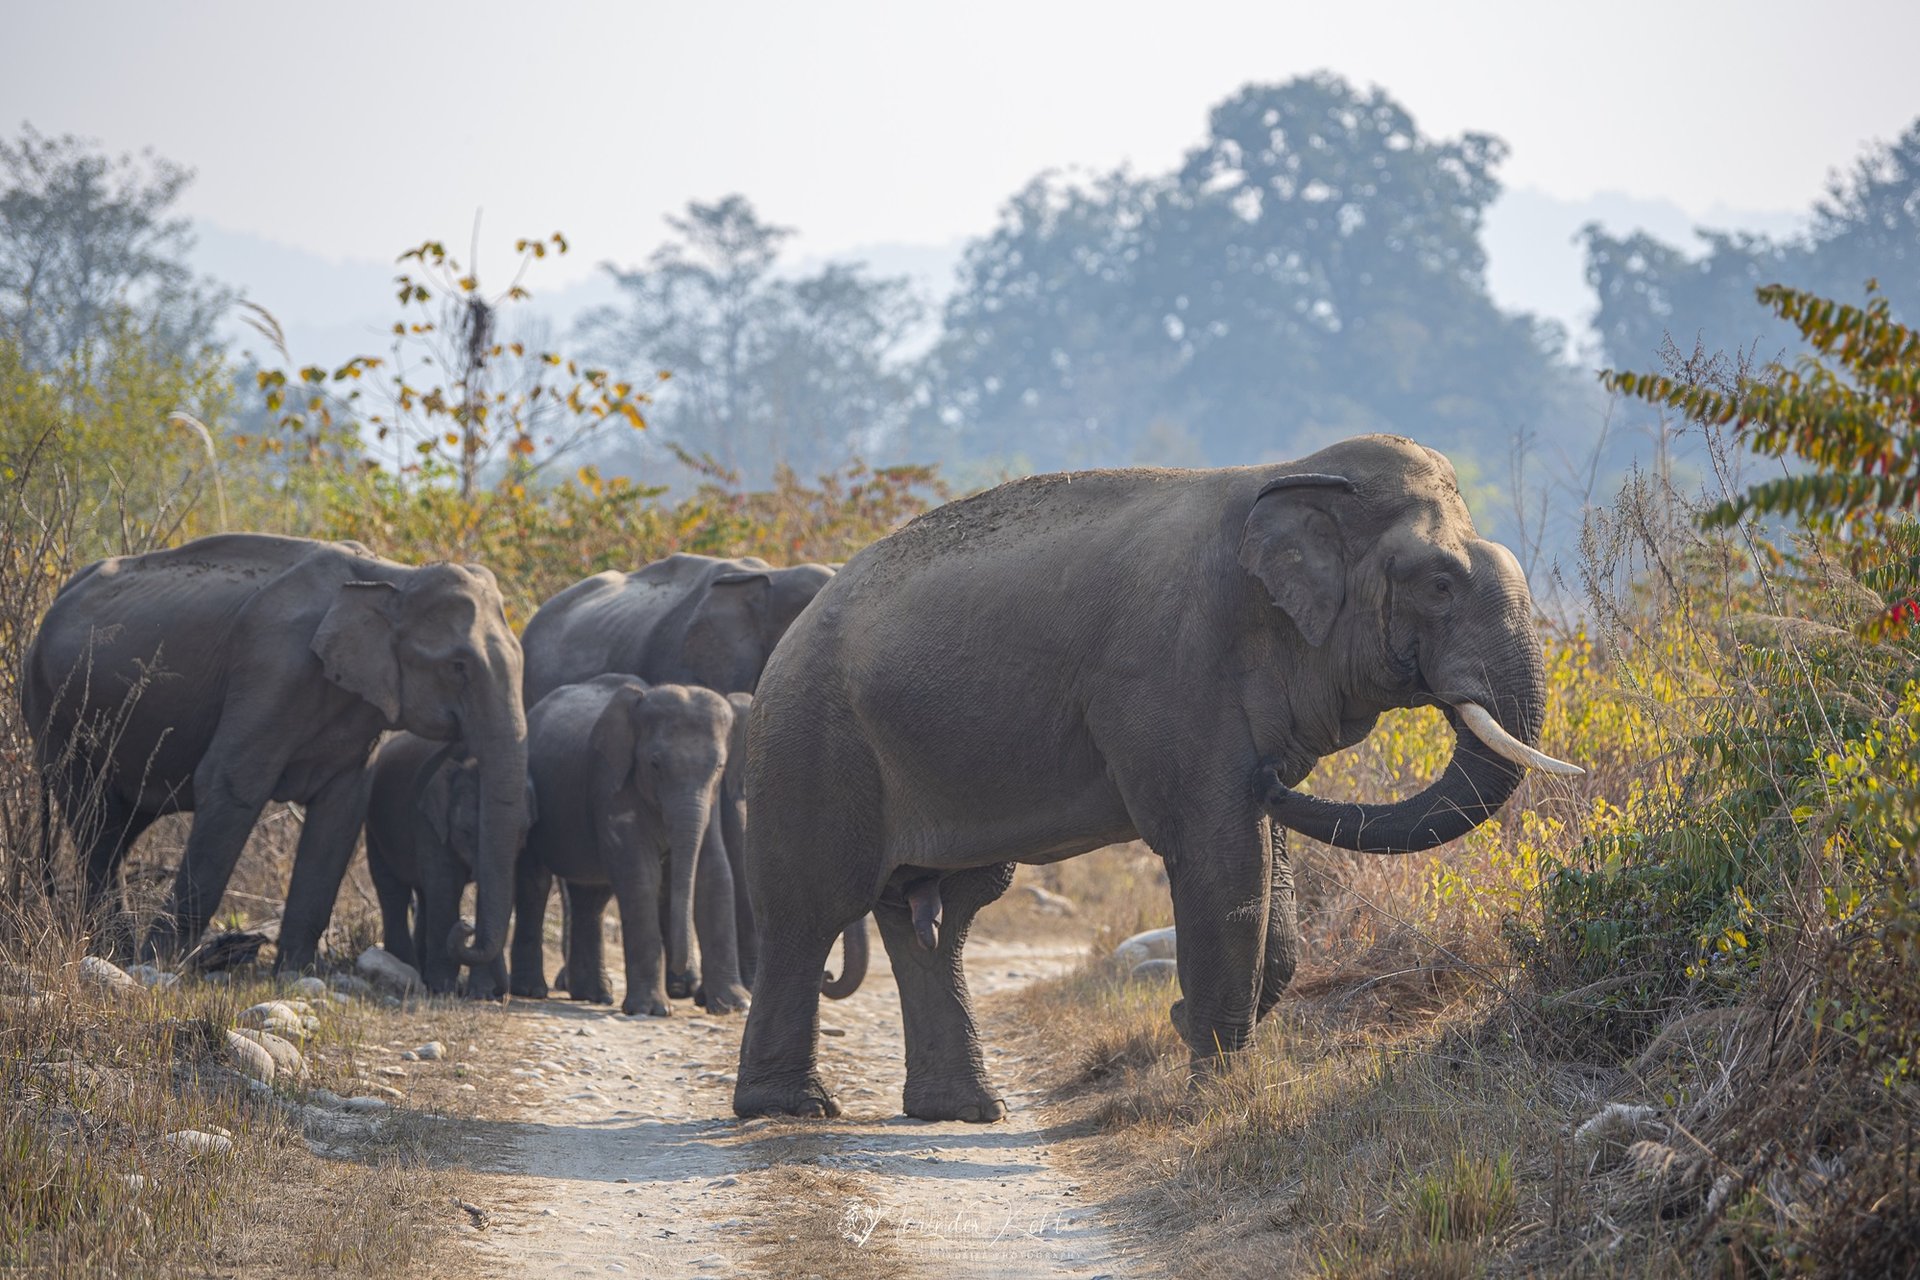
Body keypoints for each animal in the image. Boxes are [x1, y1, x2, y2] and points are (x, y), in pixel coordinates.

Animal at [24, 533, 533, 971]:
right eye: (458, 666)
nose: (465, 929)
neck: (393, 577)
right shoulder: (273, 668)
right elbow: (231, 784)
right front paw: (160, 964)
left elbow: (341, 811)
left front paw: (294, 972)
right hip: (51, 707)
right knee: (95, 819)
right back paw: (118, 953)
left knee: (117, 824)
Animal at [360, 729, 537, 997]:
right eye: (465, 831)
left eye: (523, 832)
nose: (467, 926)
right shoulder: (427, 823)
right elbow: (445, 888)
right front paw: (442, 988)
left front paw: (481, 993)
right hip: (375, 826)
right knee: (392, 890)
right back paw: (409, 969)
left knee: (423, 896)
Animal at [510, 675, 748, 1013]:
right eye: (655, 764)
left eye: (718, 767)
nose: (682, 982)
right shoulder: (611, 782)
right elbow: (640, 876)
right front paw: (651, 1010)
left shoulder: (711, 798)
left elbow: (713, 872)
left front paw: (735, 1005)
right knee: (535, 883)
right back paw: (531, 990)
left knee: (590, 896)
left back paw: (593, 995)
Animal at [729, 437, 1574, 1120]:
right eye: (1440, 584)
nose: (1274, 776)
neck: (1292, 475)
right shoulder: (1173, 670)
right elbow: (1219, 854)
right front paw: (1213, 1096)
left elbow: (1261, 869)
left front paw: (1190, 1026)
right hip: (810, 741)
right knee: (810, 908)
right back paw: (792, 1108)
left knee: (941, 915)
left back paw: (961, 1111)